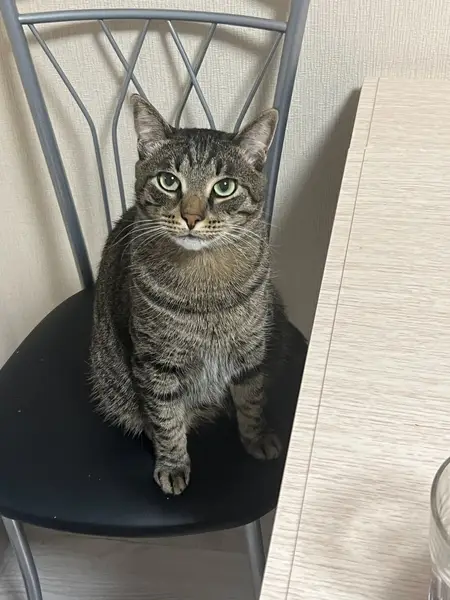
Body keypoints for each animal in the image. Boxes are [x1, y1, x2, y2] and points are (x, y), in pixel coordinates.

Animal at [90, 94, 287, 495]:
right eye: (169, 181)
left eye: (224, 187)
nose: (192, 217)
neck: (206, 281)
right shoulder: (156, 363)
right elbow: (166, 419)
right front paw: (172, 464)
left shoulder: (251, 351)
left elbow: (252, 400)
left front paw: (256, 437)